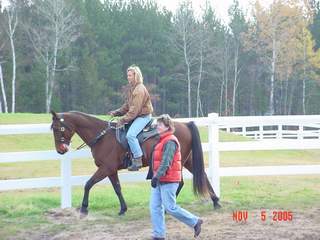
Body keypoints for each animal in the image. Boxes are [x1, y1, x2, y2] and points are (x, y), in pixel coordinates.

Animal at [50, 110, 220, 216]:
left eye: (58, 128)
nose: (60, 150)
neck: (102, 137)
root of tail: (185, 124)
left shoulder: (105, 168)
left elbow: (88, 184)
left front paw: (84, 208)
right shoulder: (111, 170)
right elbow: (117, 188)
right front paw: (123, 209)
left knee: (180, 182)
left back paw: (167, 208)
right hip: (186, 160)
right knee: (202, 176)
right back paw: (216, 201)